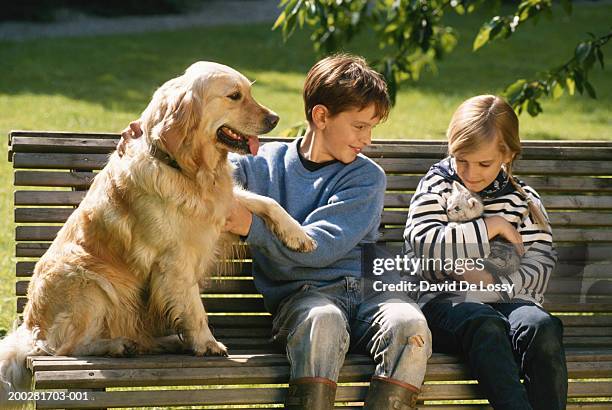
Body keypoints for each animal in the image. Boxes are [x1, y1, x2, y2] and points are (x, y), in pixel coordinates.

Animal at [0, 61, 316, 400]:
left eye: (249, 92)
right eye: (235, 96)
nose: (275, 118)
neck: (184, 169)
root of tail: (29, 329)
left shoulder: (221, 208)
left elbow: (267, 201)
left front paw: (298, 235)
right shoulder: (174, 259)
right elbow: (193, 306)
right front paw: (207, 343)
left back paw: (165, 340)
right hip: (89, 283)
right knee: (66, 348)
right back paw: (119, 345)